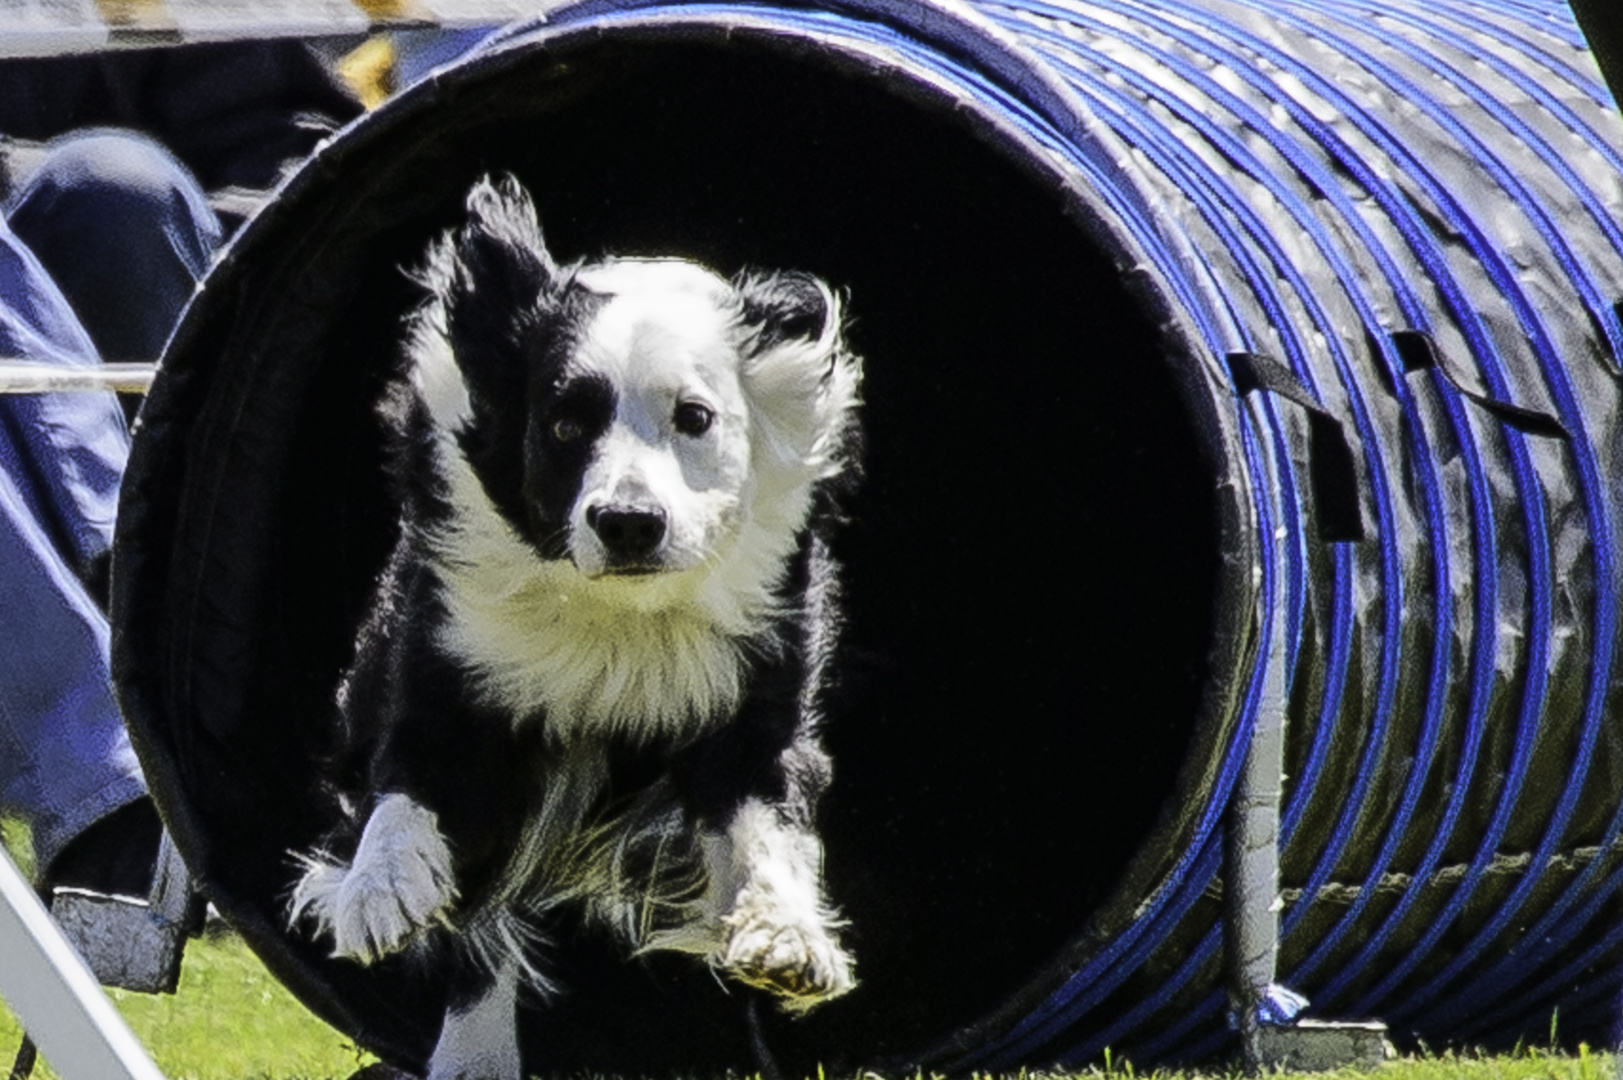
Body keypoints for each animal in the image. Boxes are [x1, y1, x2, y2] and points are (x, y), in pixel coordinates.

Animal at [288, 177, 863, 1078]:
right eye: (564, 423)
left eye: (694, 417)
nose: (628, 522)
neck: (617, 616)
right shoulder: (449, 663)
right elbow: (406, 787)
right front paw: (380, 892)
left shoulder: (760, 685)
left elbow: (765, 816)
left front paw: (783, 938)